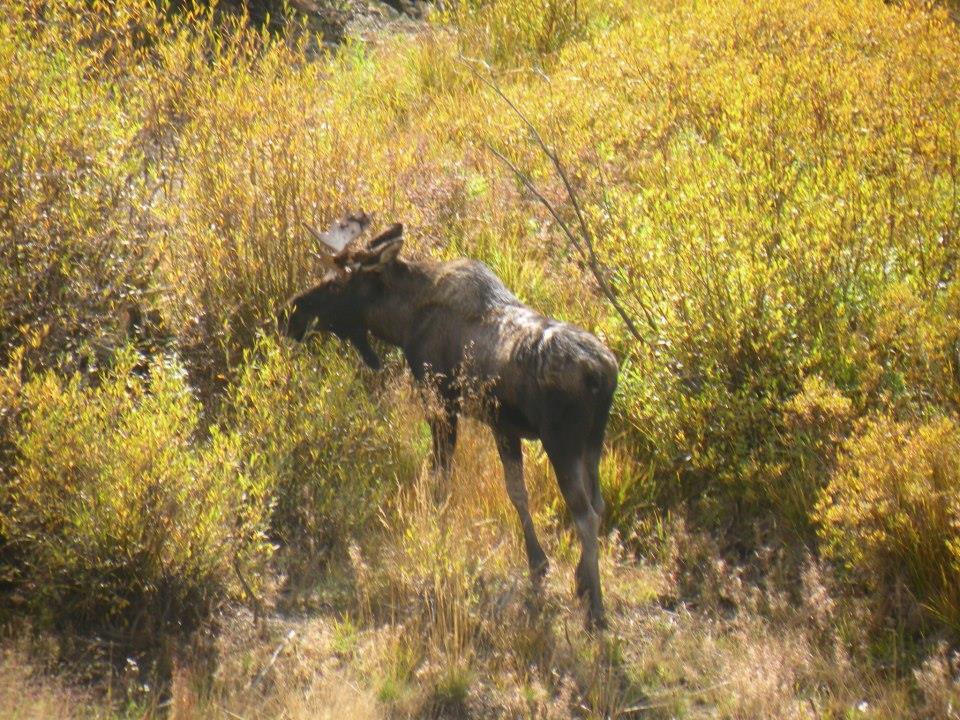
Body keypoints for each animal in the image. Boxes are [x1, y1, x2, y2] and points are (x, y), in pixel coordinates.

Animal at [282, 211, 620, 628]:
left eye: (337, 280)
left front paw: (438, 538)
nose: (292, 312)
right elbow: (517, 492)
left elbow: (441, 478)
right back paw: (583, 582)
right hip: (593, 441)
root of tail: (602, 373)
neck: (403, 323)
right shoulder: (502, 427)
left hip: (562, 441)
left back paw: (596, 608)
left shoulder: (441, 402)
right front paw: (538, 566)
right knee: (599, 505)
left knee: (585, 513)